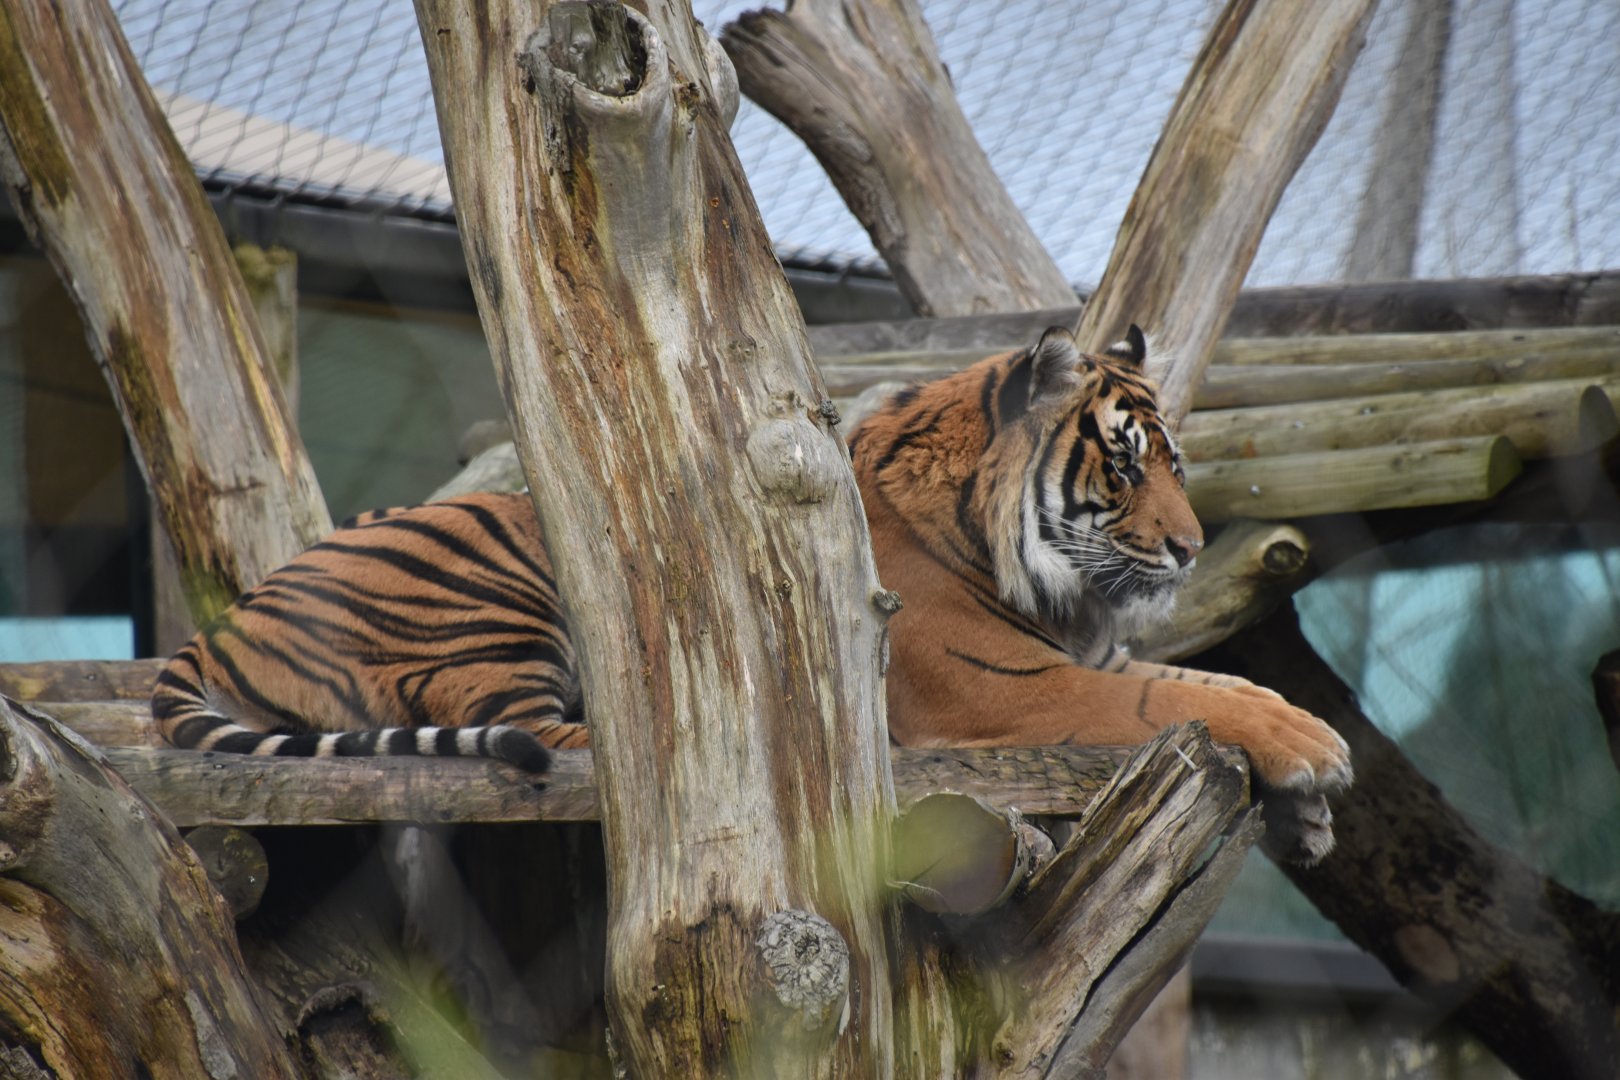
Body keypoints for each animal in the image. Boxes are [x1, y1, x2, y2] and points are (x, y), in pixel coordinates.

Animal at [153, 324, 1350, 826]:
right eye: (1127, 461)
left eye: (1177, 464)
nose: (1189, 547)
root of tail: (216, 626)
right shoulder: (1006, 690)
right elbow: (1167, 700)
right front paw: (1315, 751)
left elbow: (1214, 684)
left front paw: (1308, 756)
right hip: (490, 588)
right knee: (544, 736)